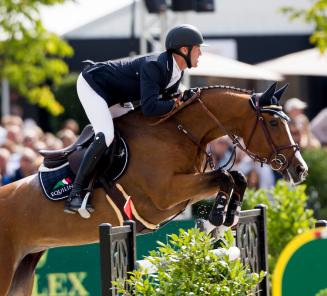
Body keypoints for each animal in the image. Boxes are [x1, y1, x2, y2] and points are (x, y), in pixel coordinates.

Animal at [0, 82, 308, 294]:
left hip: (22, 275)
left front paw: (226, 217)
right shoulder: (167, 194)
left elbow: (236, 176)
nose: (300, 170)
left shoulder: (186, 189)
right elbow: (225, 177)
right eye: (272, 122)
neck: (178, 132)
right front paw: (218, 217)